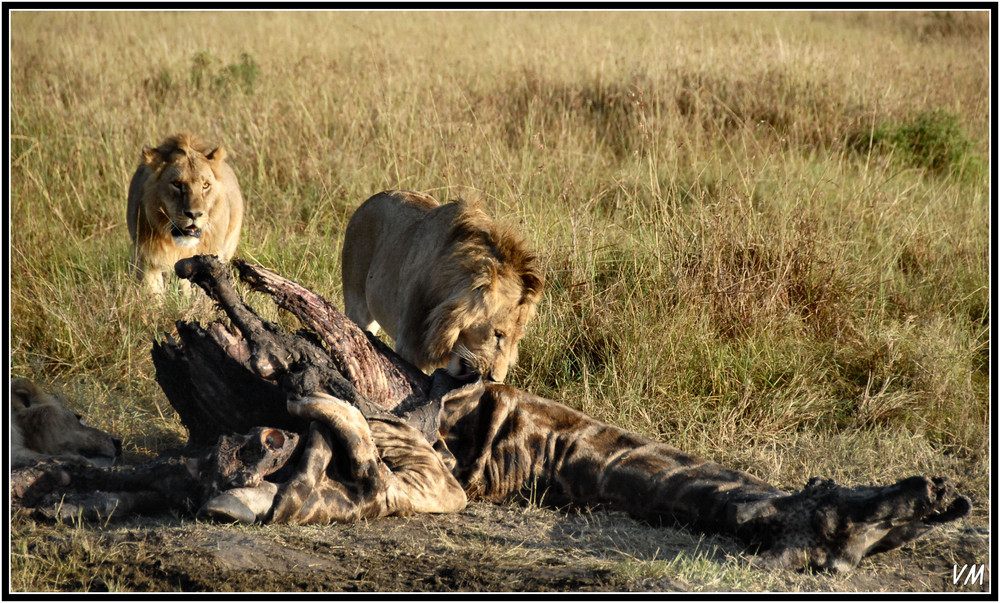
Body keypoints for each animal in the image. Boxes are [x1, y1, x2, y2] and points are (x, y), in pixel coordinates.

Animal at [344, 191, 548, 382]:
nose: (495, 379)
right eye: (498, 334)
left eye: (516, 340)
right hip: (357, 304)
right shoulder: (410, 346)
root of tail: (369, 201)